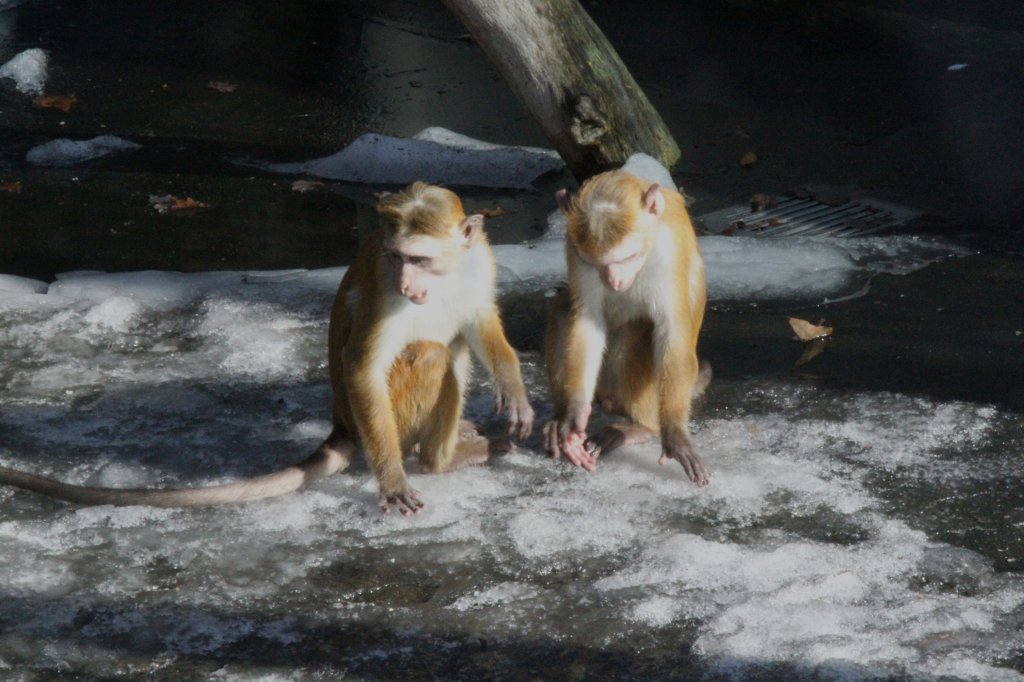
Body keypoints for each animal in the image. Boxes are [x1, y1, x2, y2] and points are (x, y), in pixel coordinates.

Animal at [4, 180, 536, 509]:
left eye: (419, 259)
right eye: (396, 257)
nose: (407, 282)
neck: (444, 278)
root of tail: (343, 423)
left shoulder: (479, 260)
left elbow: (480, 320)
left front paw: (514, 388)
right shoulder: (384, 288)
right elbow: (361, 366)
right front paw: (391, 480)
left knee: (455, 342)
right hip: (385, 417)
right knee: (434, 353)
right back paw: (435, 462)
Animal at [544, 165, 712, 483]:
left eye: (628, 257)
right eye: (599, 264)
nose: (614, 280)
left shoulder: (668, 251)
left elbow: (671, 329)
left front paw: (674, 434)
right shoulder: (576, 250)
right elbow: (587, 319)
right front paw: (573, 415)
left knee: (640, 327)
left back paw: (641, 428)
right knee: (562, 309)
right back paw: (559, 419)